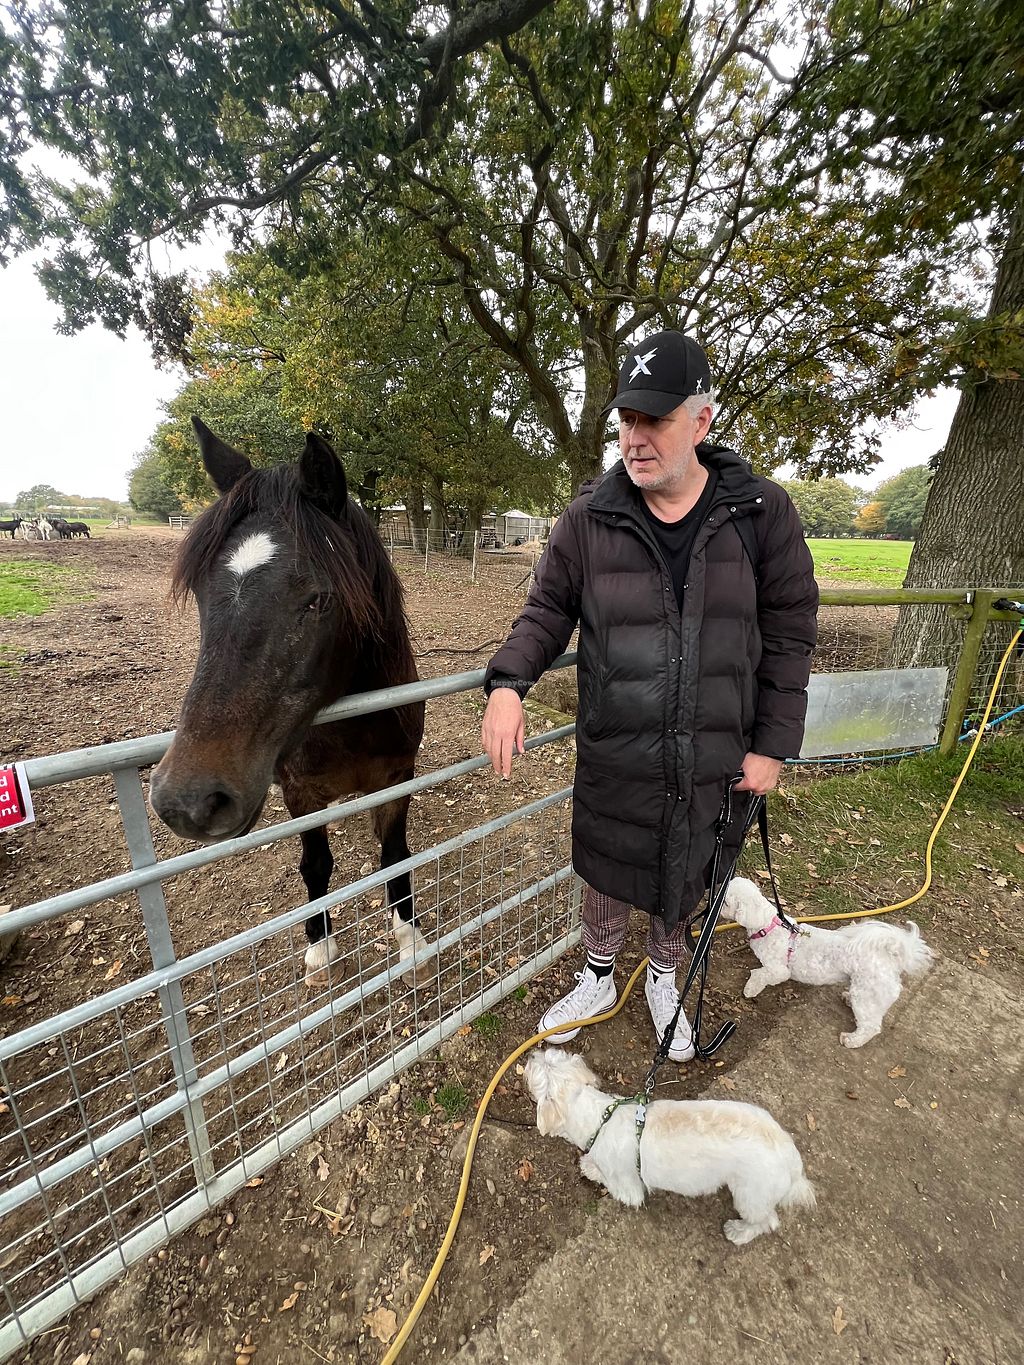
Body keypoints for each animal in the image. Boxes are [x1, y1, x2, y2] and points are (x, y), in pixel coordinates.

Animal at [149, 417, 430, 988]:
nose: (188, 801)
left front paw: (409, 941)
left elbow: (394, 855)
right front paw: (321, 950)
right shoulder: (301, 793)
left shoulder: (397, 778)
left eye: (318, 600)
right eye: (200, 594)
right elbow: (316, 865)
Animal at [523, 1048, 815, 1244]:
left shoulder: (628, 1187)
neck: (600, 1116)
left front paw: (592, 1169)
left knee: (767, 1221)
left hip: (751, 1193)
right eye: (549, 1057)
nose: (531, 1055)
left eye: (537, 1070)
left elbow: (617, 1185)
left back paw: (739, 1232)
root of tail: (793, 1162)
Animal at [725, 876, 935, 1048]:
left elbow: (760, 975)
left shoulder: (778, 970)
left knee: (871, 1026)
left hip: (868, 994)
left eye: (725, 902)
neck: (768, 924)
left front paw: (750, 989)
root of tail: (892, 957)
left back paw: (852, 1040)